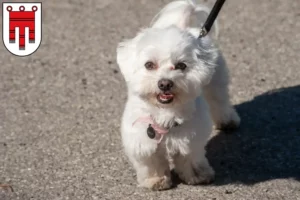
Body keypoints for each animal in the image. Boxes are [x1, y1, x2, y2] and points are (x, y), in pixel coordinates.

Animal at [116, 0, 240, 191]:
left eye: (181, 65)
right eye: (149, 64)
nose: (165, 83)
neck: (165, 113)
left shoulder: (191, 138)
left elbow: (190, 157)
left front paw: (198, 175)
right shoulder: (142, 140)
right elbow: (151, 162)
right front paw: (156, 180)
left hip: (216, 80)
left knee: (219, 100)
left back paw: (227, 120)